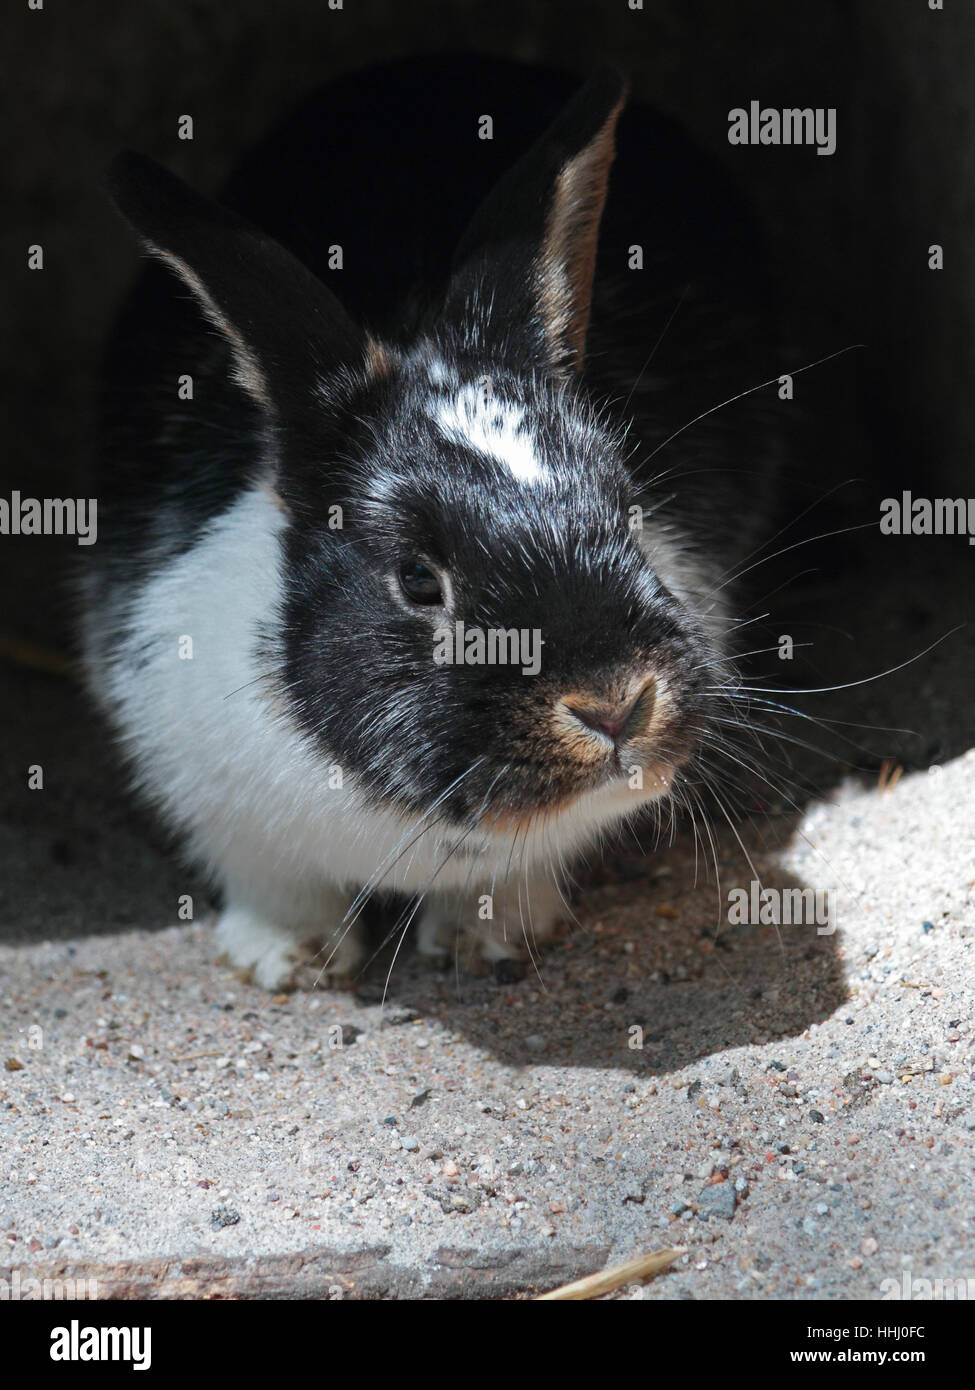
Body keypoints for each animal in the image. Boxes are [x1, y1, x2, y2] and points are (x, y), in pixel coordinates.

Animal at [82, 55, 782, 990]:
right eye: (418, 578)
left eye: (626, 512)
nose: (614, 706)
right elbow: (275, 889)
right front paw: (289, 963)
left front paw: (491, 939)